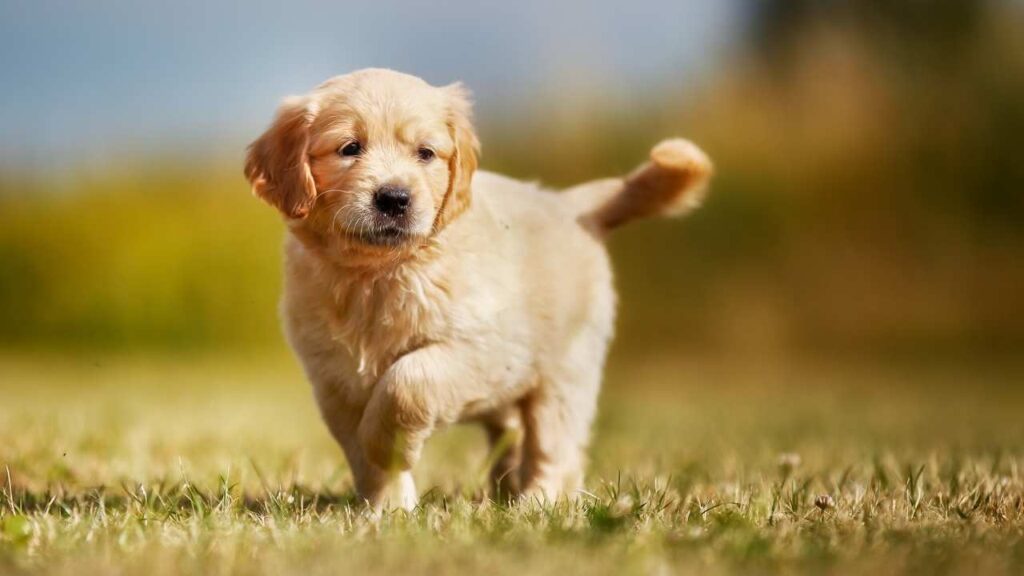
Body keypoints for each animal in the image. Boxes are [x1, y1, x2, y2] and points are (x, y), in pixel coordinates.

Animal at [246, 68, 712, 506]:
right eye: (349, 148)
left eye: (425, 153)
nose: (394, 198)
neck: (377, 274)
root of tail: (567, 203)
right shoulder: (333, 380)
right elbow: (361, 451)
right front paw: (387, 507)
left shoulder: (483, 348)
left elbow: (406, 383)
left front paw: (390, 449)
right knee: (514, 436)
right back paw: (505, 493)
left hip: (566, 371)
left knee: (554, 449)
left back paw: (536, 504)